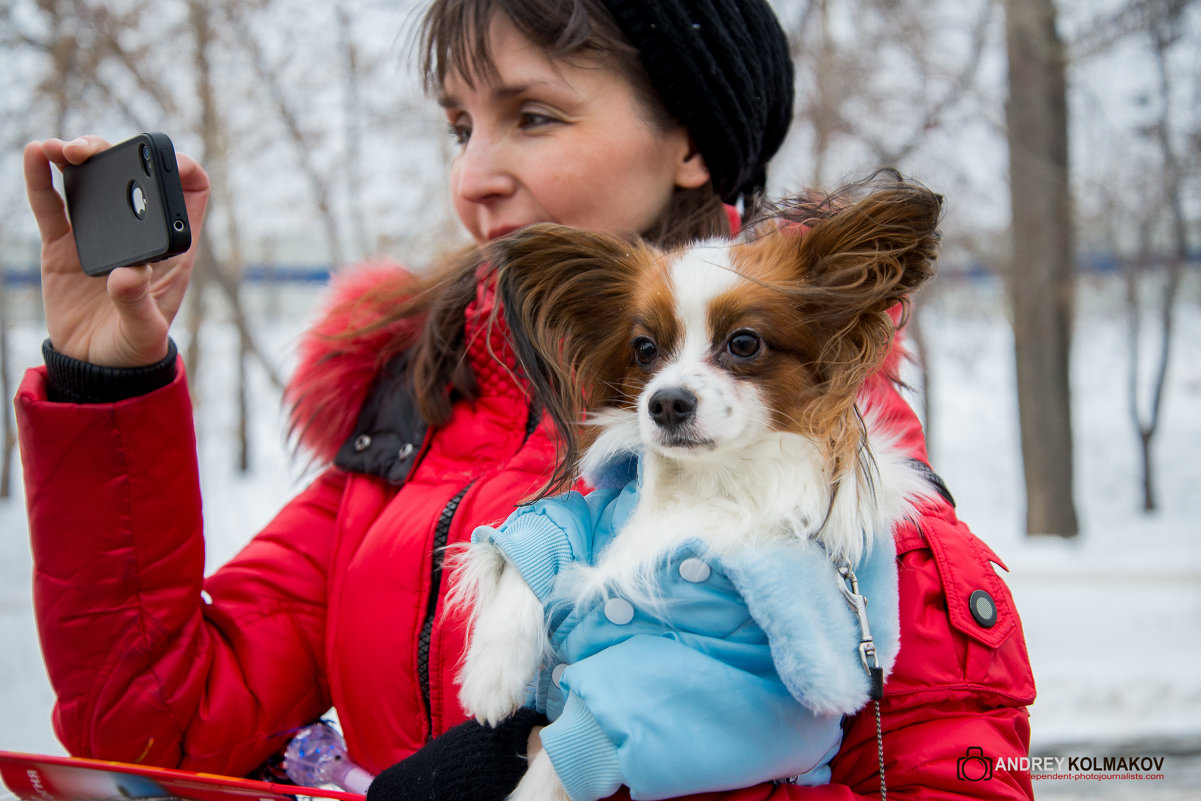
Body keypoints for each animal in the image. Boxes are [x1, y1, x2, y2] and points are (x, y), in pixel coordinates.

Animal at [451, 175, 946, 801]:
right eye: (644, 349)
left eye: (744, 343)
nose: (665, 402)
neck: (709, 480)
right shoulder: (590, 517)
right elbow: (535, 553)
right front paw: (490, 672)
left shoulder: (744, 671)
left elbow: (602, 727)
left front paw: (539, 782)